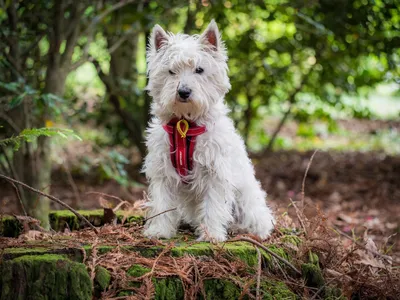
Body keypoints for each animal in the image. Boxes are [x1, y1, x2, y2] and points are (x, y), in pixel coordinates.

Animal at [141, 20, 276, 241]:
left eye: (199, 70)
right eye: (171, 71)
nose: (183, 91)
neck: (185, 125)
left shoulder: (215, 171)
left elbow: (213, 205)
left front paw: (211, 235)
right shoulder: (163, 170)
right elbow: (162, 203)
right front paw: (159, 230)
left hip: (246, 200)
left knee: (258, 221)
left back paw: (242, 229)